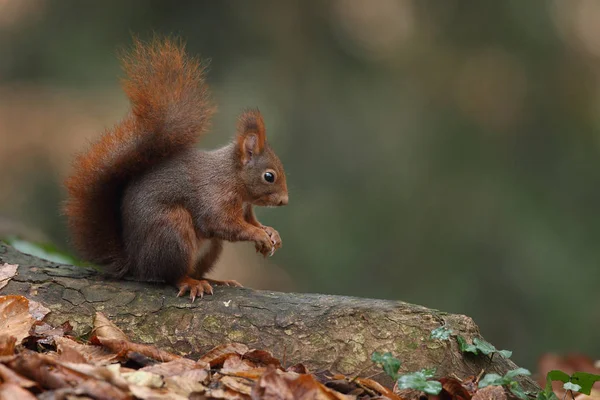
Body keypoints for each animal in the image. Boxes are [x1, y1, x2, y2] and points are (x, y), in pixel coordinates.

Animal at [64, 37, 290, 302]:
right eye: (269, 176)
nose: (285, 201)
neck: (233, 176)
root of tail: (135, 263)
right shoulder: (214, 196)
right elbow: (223, 223)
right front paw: (259, 235)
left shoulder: (245, 208)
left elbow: (250, 221)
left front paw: (271, 233)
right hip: (172, 231)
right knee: (170, 275)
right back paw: (191, 283)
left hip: (211, 248)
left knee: (195, 270)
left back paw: (216, 280)